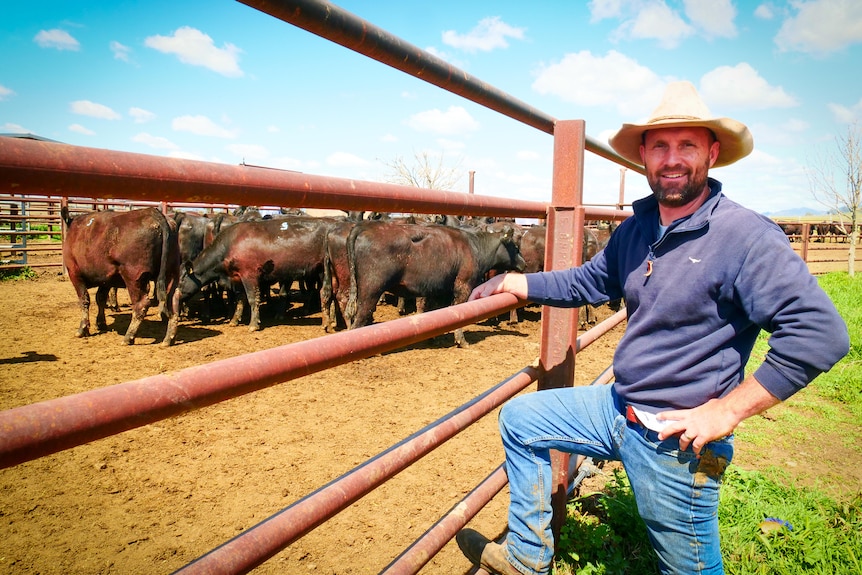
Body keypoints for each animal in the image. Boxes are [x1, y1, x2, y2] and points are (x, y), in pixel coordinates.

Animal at [61, 206, 181, 346]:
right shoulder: (106, 279)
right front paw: (101, 323)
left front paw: (82, 329)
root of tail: (153, 212)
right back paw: (169, 339)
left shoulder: (74, 273)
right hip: (171, 273)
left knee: (141, 304)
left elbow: (84, 300)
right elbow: (100, 298)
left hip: (134, 276)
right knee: (173, 301)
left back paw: (128, 337)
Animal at [181, 216, 340, 332]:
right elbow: (240, 299)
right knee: (329, 293)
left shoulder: (249, 275)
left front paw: (253, 324)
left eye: (181, 280)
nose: (177, 296)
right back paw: (331, 322)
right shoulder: (238, 278)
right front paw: (234, 320)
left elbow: (252, 299)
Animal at [344, 220, 528, 346]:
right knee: (359, 319)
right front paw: (461, 340)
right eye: (514, 246)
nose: (524, 264)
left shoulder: (440, 289)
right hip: (371, 290)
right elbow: (458, 312)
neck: (475, 246)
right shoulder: (463, 286)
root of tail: (367, 226)